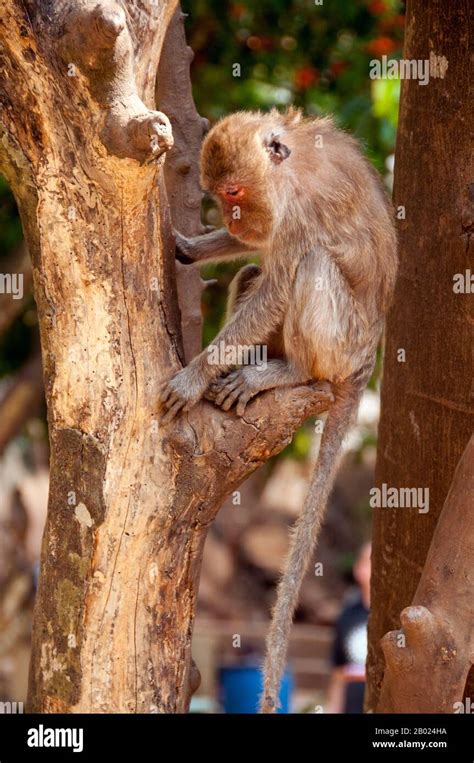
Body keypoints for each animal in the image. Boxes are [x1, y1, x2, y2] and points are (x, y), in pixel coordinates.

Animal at [158, 107, 398, 712]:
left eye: (235, 192)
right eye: (220, 197)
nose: (232, 218)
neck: (286, 166)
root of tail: (364, 366)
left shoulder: (298, 212)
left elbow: (280, 283)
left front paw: (193, 377)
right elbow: (256, 266)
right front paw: (192, 246)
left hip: (341, 345)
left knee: (306, 270)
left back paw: (288, 374)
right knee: (252, 274)